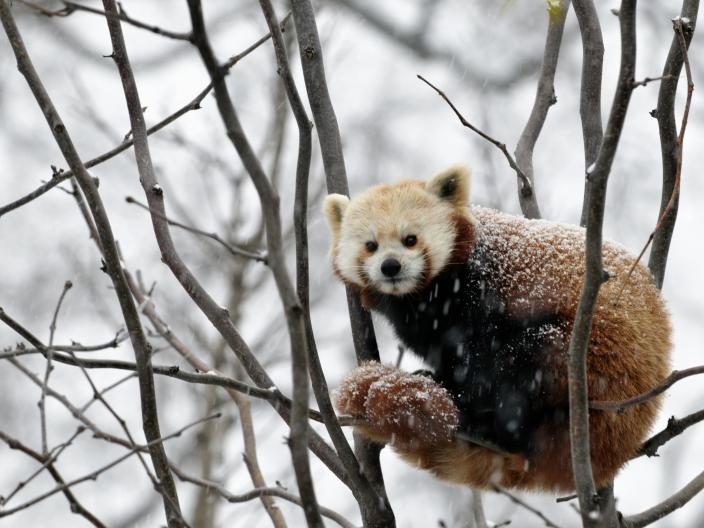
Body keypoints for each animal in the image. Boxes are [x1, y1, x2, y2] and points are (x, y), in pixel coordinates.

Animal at [323, 165, 671, 492]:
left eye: (410, 239)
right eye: (371, 245)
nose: (390, 266)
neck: (421, 298)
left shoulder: (480, 293)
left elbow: (481, 352)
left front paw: (458, 391)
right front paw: (436, 377)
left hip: (592, 368)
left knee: (528, 359)